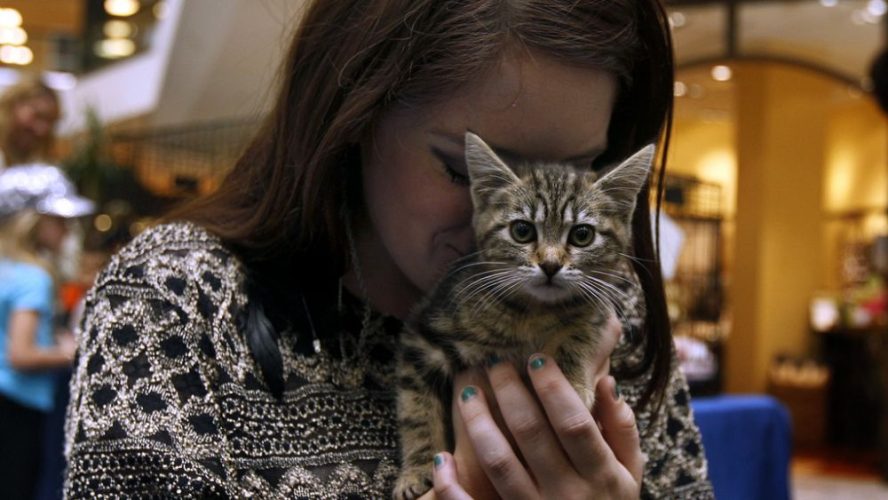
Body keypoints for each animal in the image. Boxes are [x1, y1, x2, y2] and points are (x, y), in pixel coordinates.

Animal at [394, 131, 652, 498]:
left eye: (582, 235)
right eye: (522, 231)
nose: (550, 265)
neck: (532, 312)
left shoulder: (596, 309)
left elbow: (581, 328)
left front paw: (571, 381)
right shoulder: (424, 333)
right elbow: (416, 408)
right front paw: (418, 468)